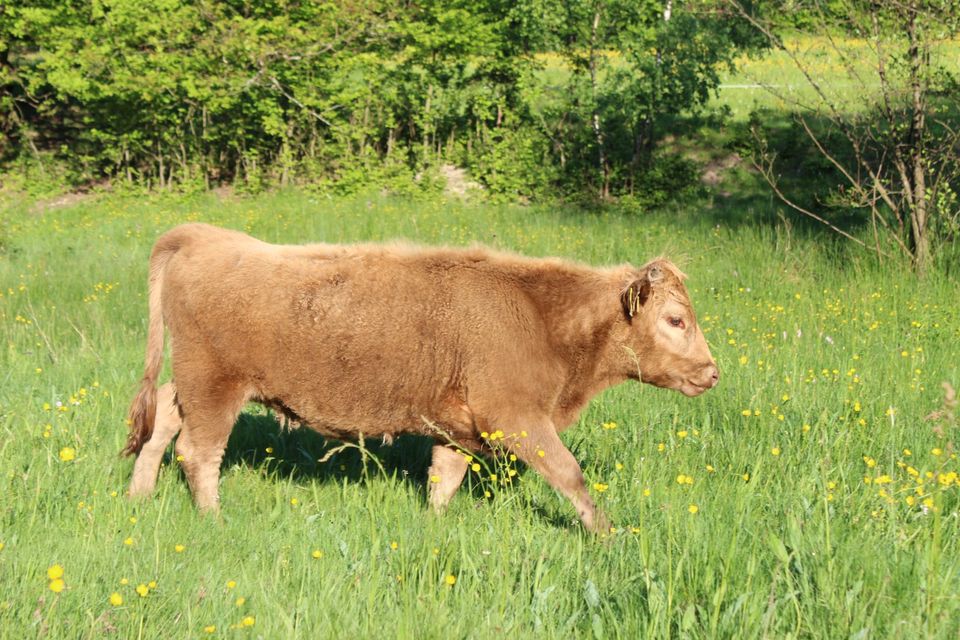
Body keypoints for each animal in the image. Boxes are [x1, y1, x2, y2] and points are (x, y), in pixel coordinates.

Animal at [124, 222, 716, 532]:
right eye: (676, 319)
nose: (712, 372)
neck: (540, 314)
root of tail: (200, 235)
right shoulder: (521, 419)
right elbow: (570, 474)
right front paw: (607, 534)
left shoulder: (459, 428)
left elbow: (443, 479)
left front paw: (433, 527)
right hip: (215, 387)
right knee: (198, 452)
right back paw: (212, 518)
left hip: (193, 382)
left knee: (164, 420)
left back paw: (139, 495)